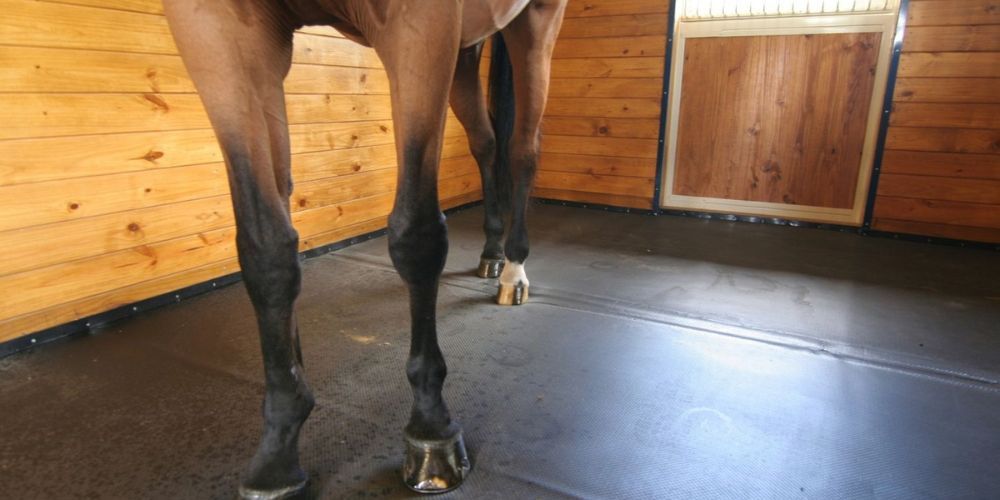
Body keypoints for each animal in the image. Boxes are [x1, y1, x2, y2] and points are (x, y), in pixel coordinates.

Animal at [162, 0, 567, 497]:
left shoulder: (421, 23)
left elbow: (416, 236)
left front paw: (431, 426)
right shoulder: (215, 26)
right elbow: (266, 250)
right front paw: (280, 440)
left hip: (536, 23)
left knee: (523, 150)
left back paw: (514, 270)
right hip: (465, 54)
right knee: (485, 142)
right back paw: (491, 254)